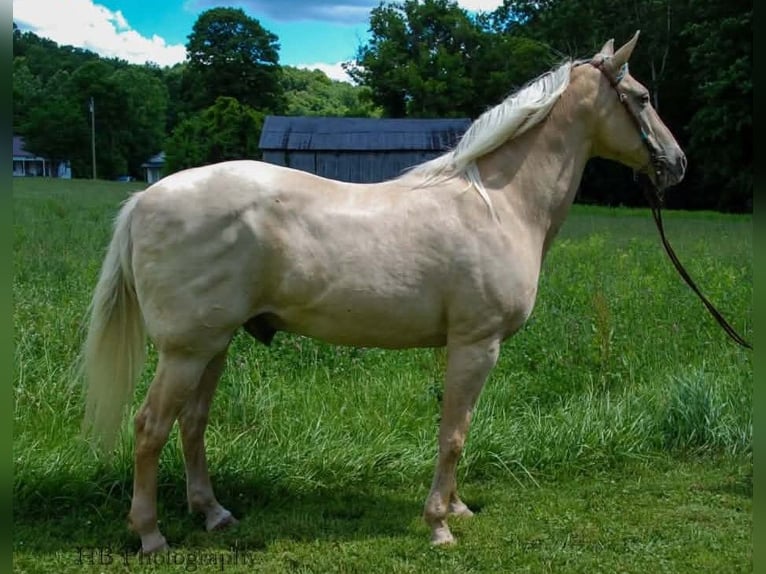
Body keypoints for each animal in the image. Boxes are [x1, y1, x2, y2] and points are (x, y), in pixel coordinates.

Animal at [81, 31, 686, 552]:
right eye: (642, 96)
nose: (677, 163)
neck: (500, 203)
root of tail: (146, 199)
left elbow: (458, 428)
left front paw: (456, 508)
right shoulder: (477, 344)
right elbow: (454, 433)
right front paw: (440, 525)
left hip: (214, 345)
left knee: (192, 424)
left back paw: (213, 514)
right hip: (186, 351)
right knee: (150, 428)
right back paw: (150, 534)